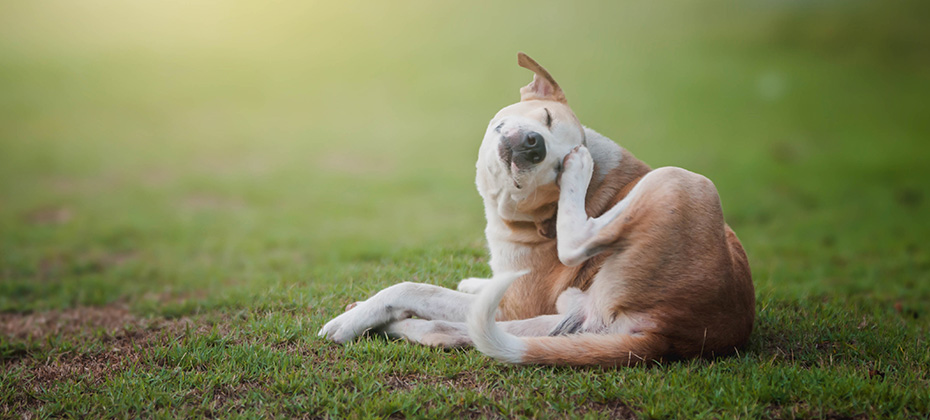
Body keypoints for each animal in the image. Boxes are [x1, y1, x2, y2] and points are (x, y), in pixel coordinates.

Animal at [320, 52, 752, 366]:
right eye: (545, 117)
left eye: (556, 170)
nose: (534, 144)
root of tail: (672, 336)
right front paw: (473, 281)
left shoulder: (513, 304)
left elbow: (412, 287)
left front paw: (349, 321)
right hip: (563, 320)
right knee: (458, 332)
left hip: (683, 180)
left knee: (575, 245)